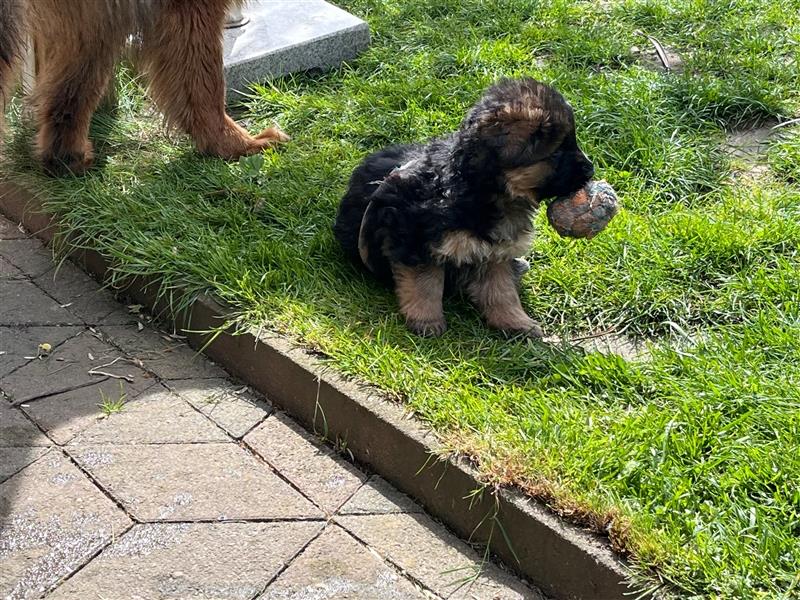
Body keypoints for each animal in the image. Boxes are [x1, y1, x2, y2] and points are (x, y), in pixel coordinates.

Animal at [332, 77, 592, 338]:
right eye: (557, 152)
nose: (591, 170)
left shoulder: (496, 250)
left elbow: (502, 292)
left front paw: (516, 322)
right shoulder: (418, 241)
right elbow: (426, 285)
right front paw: (427, 322)